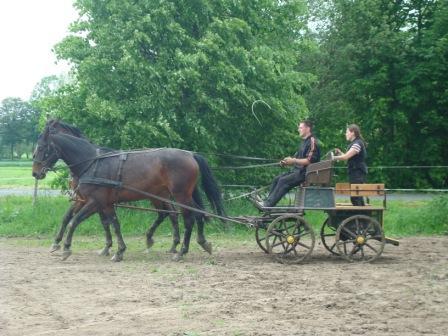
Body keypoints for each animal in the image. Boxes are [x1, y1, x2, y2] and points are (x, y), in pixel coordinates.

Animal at [33, 121, 226, 262]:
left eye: (41, 147)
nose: (35, 173)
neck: (92, 163)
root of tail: (190, 154)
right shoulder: (100, 203)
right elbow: (112, 224)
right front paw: (117, 250)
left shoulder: (94, 202)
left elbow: (75, 221)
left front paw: (66, 248)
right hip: (173, 195)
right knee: (189, 214)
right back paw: (198, 243)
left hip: (180, 196)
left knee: (188, 217)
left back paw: (181, 251)